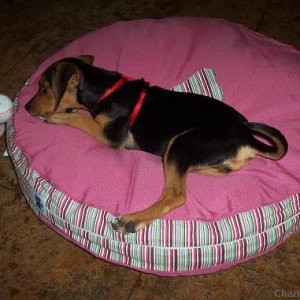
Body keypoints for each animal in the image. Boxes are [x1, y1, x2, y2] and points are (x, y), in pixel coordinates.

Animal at [24, 56, 288, 234]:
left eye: (43, 88)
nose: (26, 107)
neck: (105, 89)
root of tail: (247, 135)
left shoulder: (110, 136)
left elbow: (80, 118)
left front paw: (56, 116)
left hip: (181, 143)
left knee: (175, 195)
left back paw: (132, 220)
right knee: (216, 170)